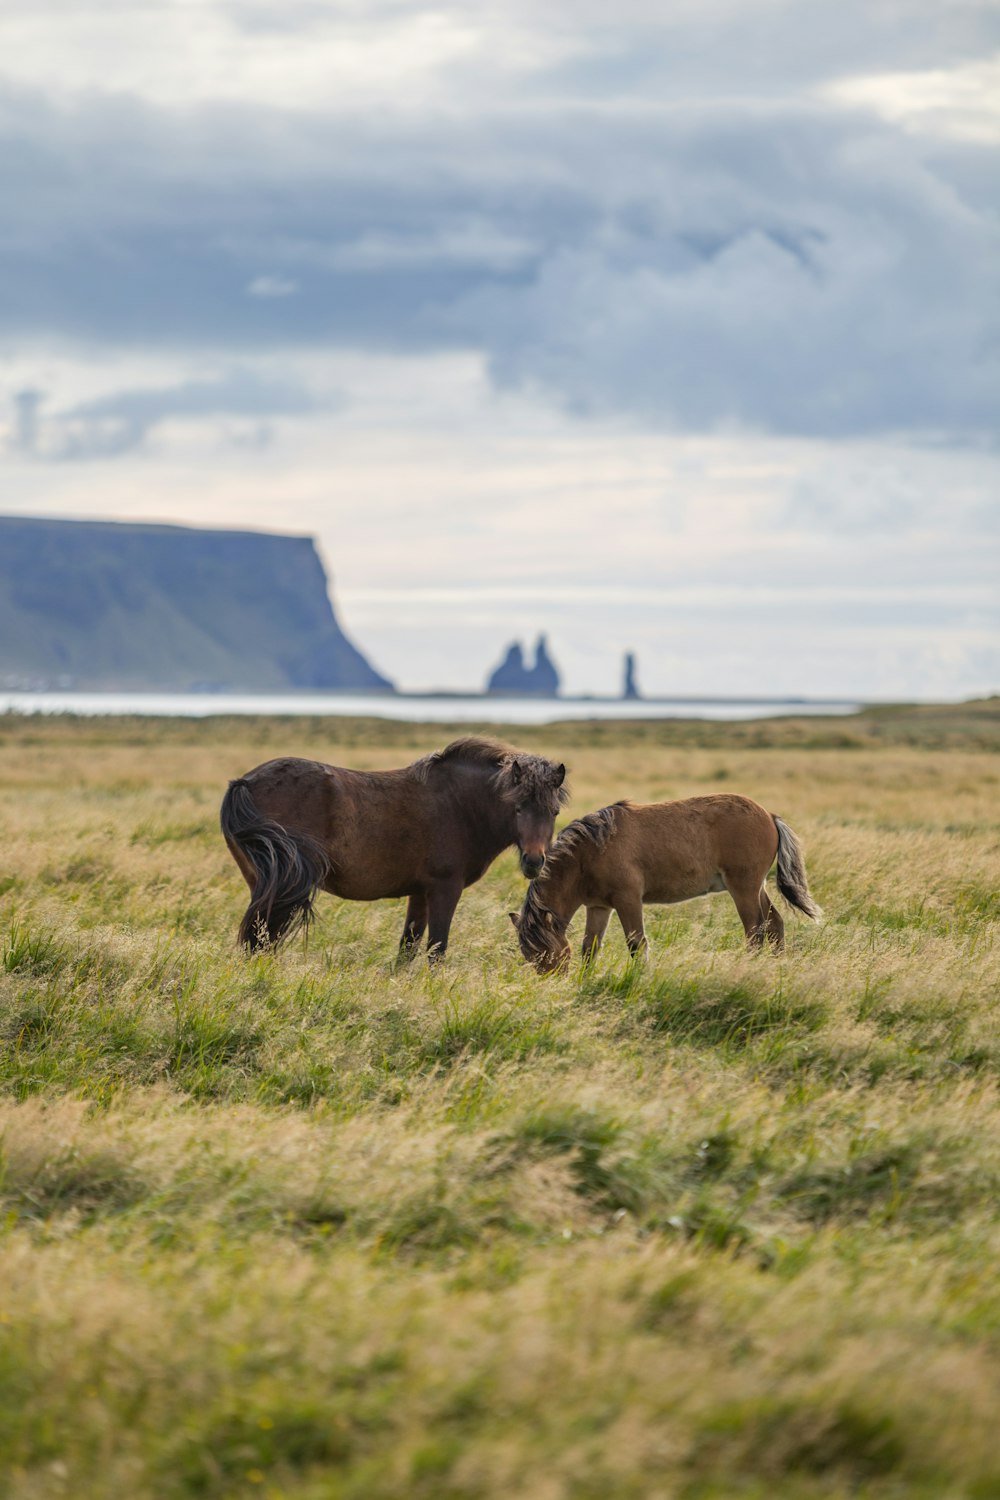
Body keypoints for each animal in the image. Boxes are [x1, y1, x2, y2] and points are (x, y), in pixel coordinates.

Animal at [224, 738, 569, 960]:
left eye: (554, 812)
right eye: (518, 809)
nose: (534, 862)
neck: (460, 804)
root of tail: (245, 781)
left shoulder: (420, 893)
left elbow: (408, 948)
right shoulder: (445, 889)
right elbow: (437, 948)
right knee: (261, 939)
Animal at [512, 798, 827, 972]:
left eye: (545, 953)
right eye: (529, 956)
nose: (553, 981)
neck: (591, 850)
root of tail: (769, 816)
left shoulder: (628, 901)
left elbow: (637, 944)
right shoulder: (599, 907)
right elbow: (590, 948)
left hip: (744, 888)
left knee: (755, 930)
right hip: (756, 888)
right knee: (774, 923)